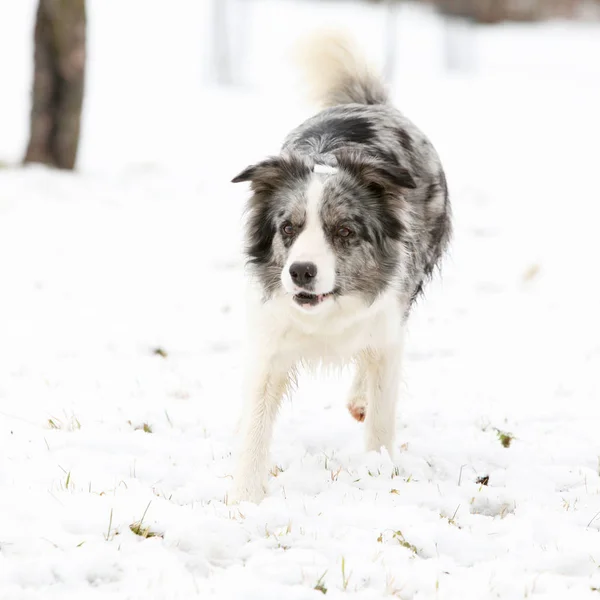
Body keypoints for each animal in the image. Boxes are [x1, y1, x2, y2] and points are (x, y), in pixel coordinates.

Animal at [229, 31, 450, 502]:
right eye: (288, 228)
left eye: (345, 231)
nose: (301, 272)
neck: (326, 314)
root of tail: (370, 103)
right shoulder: (270, 337)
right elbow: (256, 421)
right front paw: (243, 500)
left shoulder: (386, 325)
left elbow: (382, 413)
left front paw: (378, 472)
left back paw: (360, 400)